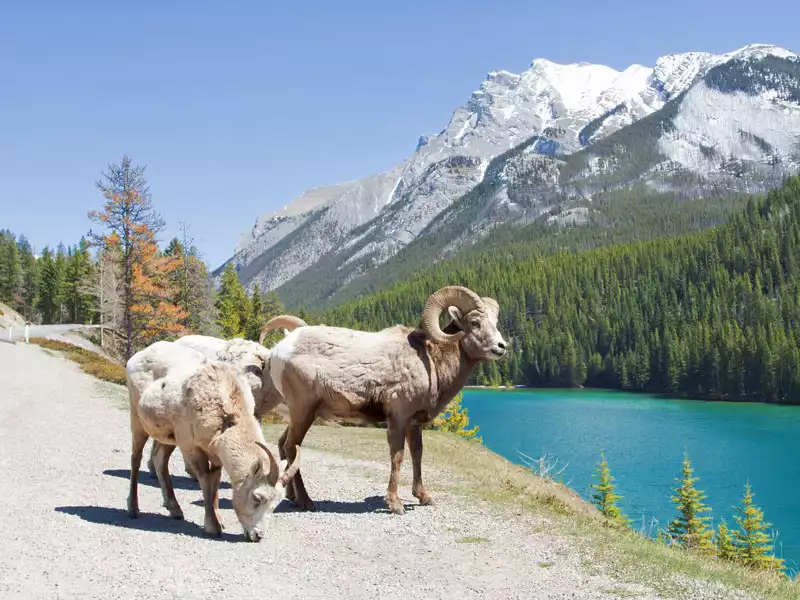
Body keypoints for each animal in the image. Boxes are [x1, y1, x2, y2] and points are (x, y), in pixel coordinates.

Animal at [125, 342, 300, 544]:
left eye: (276, 504)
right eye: (257, 498)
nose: (258, 536)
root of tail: (139, 356)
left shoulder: (215, 454)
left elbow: (214, 483)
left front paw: (220, 520)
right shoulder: (191, 448)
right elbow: (205, 480)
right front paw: (212, 526)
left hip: (168, 437)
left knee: (159, 460)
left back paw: (175, 510)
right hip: (137, 420)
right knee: (136, 459)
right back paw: (133, 509)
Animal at [260, 286, 506, 516]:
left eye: (494, 322)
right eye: (474, 322)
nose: (501, 347)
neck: (430, 361)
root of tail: (278, 350)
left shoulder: (414, 424)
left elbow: (417, 455)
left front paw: (424, 497)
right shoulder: (398, 418)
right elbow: (397, 457)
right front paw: (395, 504)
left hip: (299, 415)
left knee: (284, 445)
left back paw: (292, 496)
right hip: (303, 411)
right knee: (292, 447)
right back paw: (306, 501)